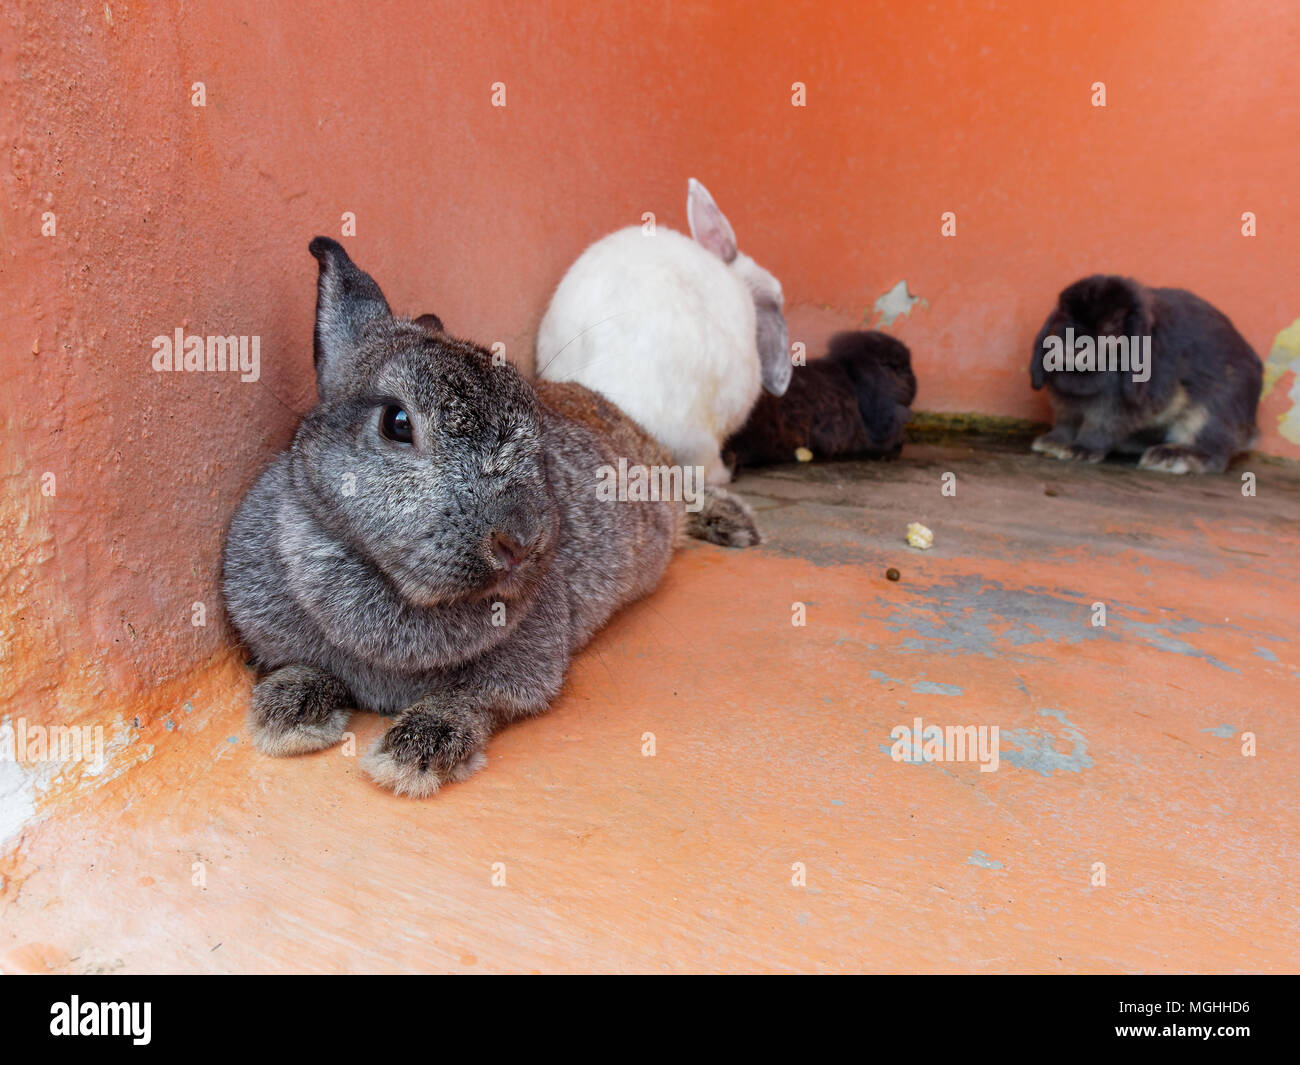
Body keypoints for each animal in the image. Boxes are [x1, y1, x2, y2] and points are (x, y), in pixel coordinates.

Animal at [222, 238, 761, 798]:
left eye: (538, 431)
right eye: (396, 423)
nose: (520, 542)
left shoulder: (523, 669)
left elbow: (471, 700)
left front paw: (413, 756)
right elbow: (299, 667)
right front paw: (287, 718)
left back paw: (736, 524)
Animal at [1030, 275, 1262, 474]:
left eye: (1112, 326)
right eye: (1064, 317)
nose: (1072, 344)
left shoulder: (1115, 408)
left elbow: (1100, 427)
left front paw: (1080, 451)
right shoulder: (1065, 406)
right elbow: (1065, 423)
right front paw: (1051, 443)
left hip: (1207, 413)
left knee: (1212, 452)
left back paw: (1167, 457)